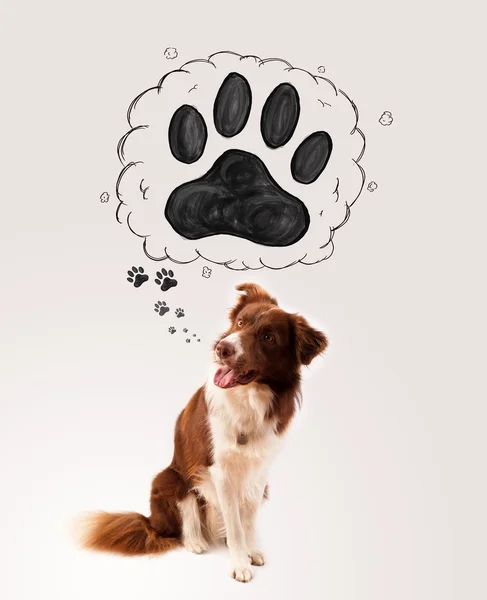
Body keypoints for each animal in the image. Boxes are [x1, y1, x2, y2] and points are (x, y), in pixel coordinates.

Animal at [82, 284, 328, 584]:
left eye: (268, 337)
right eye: (240, 323)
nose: (223, 348)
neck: (248, 400)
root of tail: (151, 522)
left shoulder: (259, 471)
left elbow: (248, 519)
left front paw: (251, 550)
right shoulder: (219, 470)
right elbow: (234, 524)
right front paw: (239, 563)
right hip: (171, 478)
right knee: (186, 515)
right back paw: (196, 542)